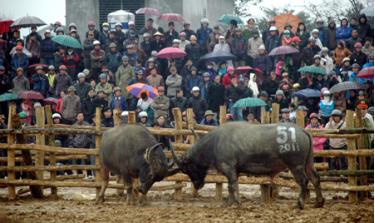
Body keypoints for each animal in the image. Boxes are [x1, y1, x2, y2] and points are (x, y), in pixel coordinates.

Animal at [171, 122, 326, 209]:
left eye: (187, 169)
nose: (197, 185)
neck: (214, 143)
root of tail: (302, 131)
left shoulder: (229, 169)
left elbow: (232, 186)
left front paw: (235, 203)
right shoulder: (235, 171)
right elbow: (232, 186)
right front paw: (229, 203)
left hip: (296, 166)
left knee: (304, 181)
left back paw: (300, 203)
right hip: (308, 163)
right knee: (315, 178)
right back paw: (319, 202)